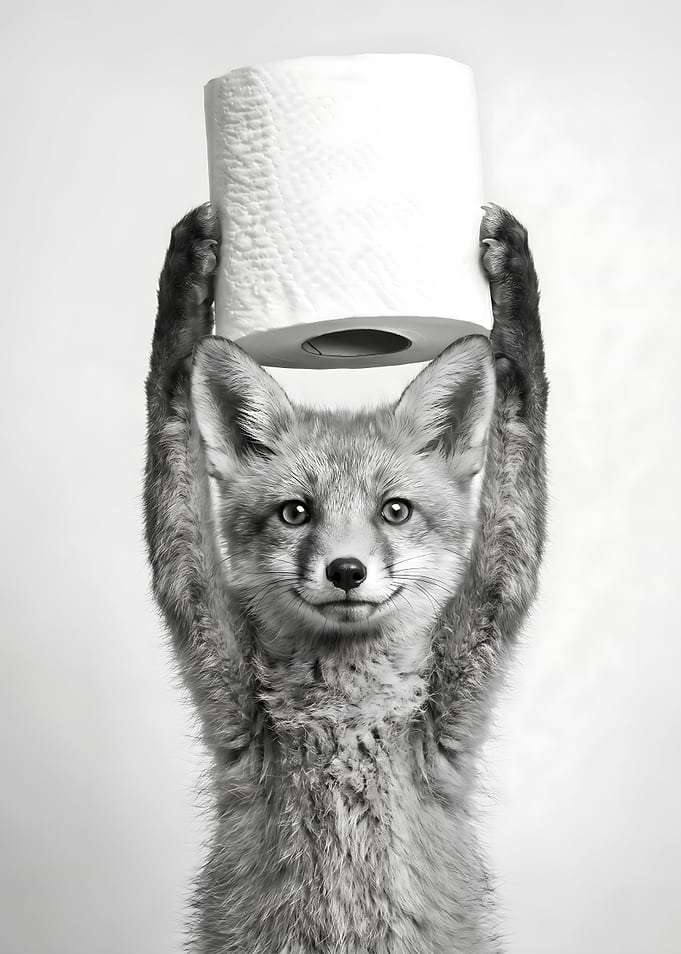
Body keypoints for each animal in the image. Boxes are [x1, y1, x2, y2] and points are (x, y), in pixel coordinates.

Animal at [144, 201, 548, 954]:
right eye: (295, 512)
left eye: (395, 510)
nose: (347, 571)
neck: (345, 716)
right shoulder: (223, 681)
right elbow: (170, 407)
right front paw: (185, 289)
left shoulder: (458, 693)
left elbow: (520, 431)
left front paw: (514, 302)